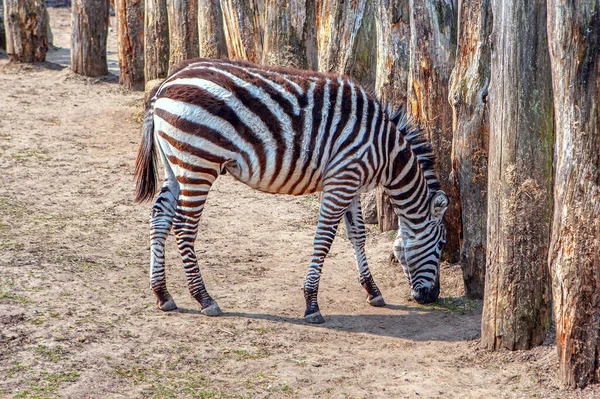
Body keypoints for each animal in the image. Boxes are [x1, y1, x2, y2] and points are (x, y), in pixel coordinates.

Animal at [134, 57, 448, 324]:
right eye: (442, 245)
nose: (431, 298)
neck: (386, 151)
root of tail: (167, 82)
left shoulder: (352, 184)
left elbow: (357, 235)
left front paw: (373, 290)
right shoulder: (342, 180)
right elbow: (324, 240)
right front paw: (311, 303)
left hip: (174, 164)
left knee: (159, 218)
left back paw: (162, 293)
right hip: (198, 163)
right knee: (184, 228)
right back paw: (204, 298)